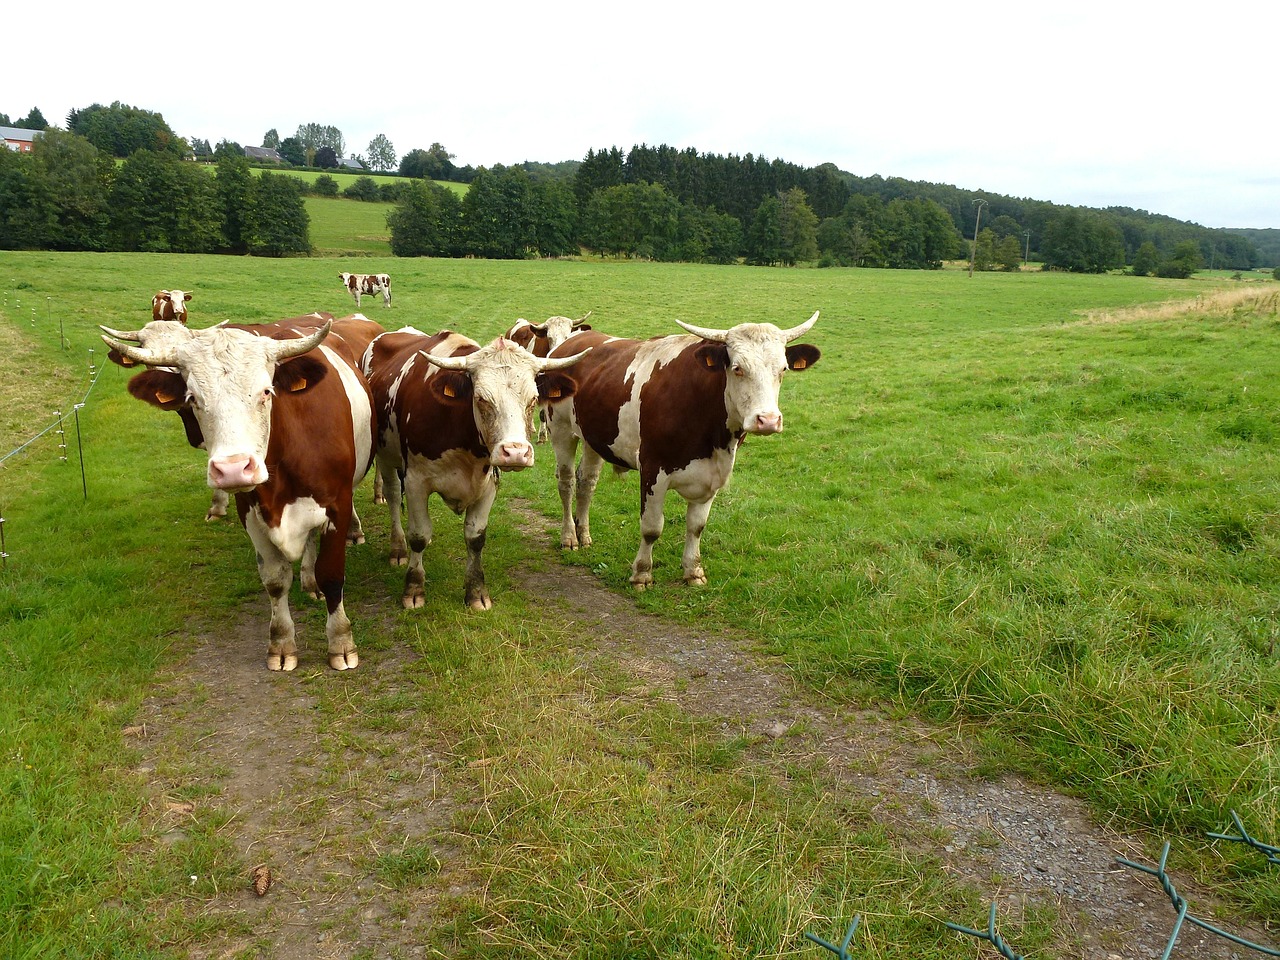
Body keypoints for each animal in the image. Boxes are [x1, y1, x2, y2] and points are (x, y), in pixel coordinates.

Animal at [102, 320, 376, 670]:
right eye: (193, 397)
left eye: (266, 391)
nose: (232, 469)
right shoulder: (250, 510)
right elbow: (275, 580)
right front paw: (281, 644)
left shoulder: (336, 505)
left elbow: (332, 575)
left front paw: (341, 642)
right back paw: (307, 579)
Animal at [360, 327, 588, 604]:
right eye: (481, 399)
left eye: (533, 399)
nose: (515, 453)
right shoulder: (416, 482)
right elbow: (418, 535)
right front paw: (414, 589)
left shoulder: (488, 486)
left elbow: (475, 537)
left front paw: (477, 592)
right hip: (385, 456)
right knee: (393, 495)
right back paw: (397, 548)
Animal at [545, 312, 824, 591]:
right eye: (737, 368)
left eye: (783, 369)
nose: (768, 420)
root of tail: (569, 341)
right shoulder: (653, 470)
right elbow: (652, 527)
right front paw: (642, 574)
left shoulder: (713, 473)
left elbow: (696, 526)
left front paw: (693, 571)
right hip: (561, 431)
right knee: (567, 482)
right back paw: (569, 536)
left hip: (593, 438)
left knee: (587, 481)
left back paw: (583, 534)